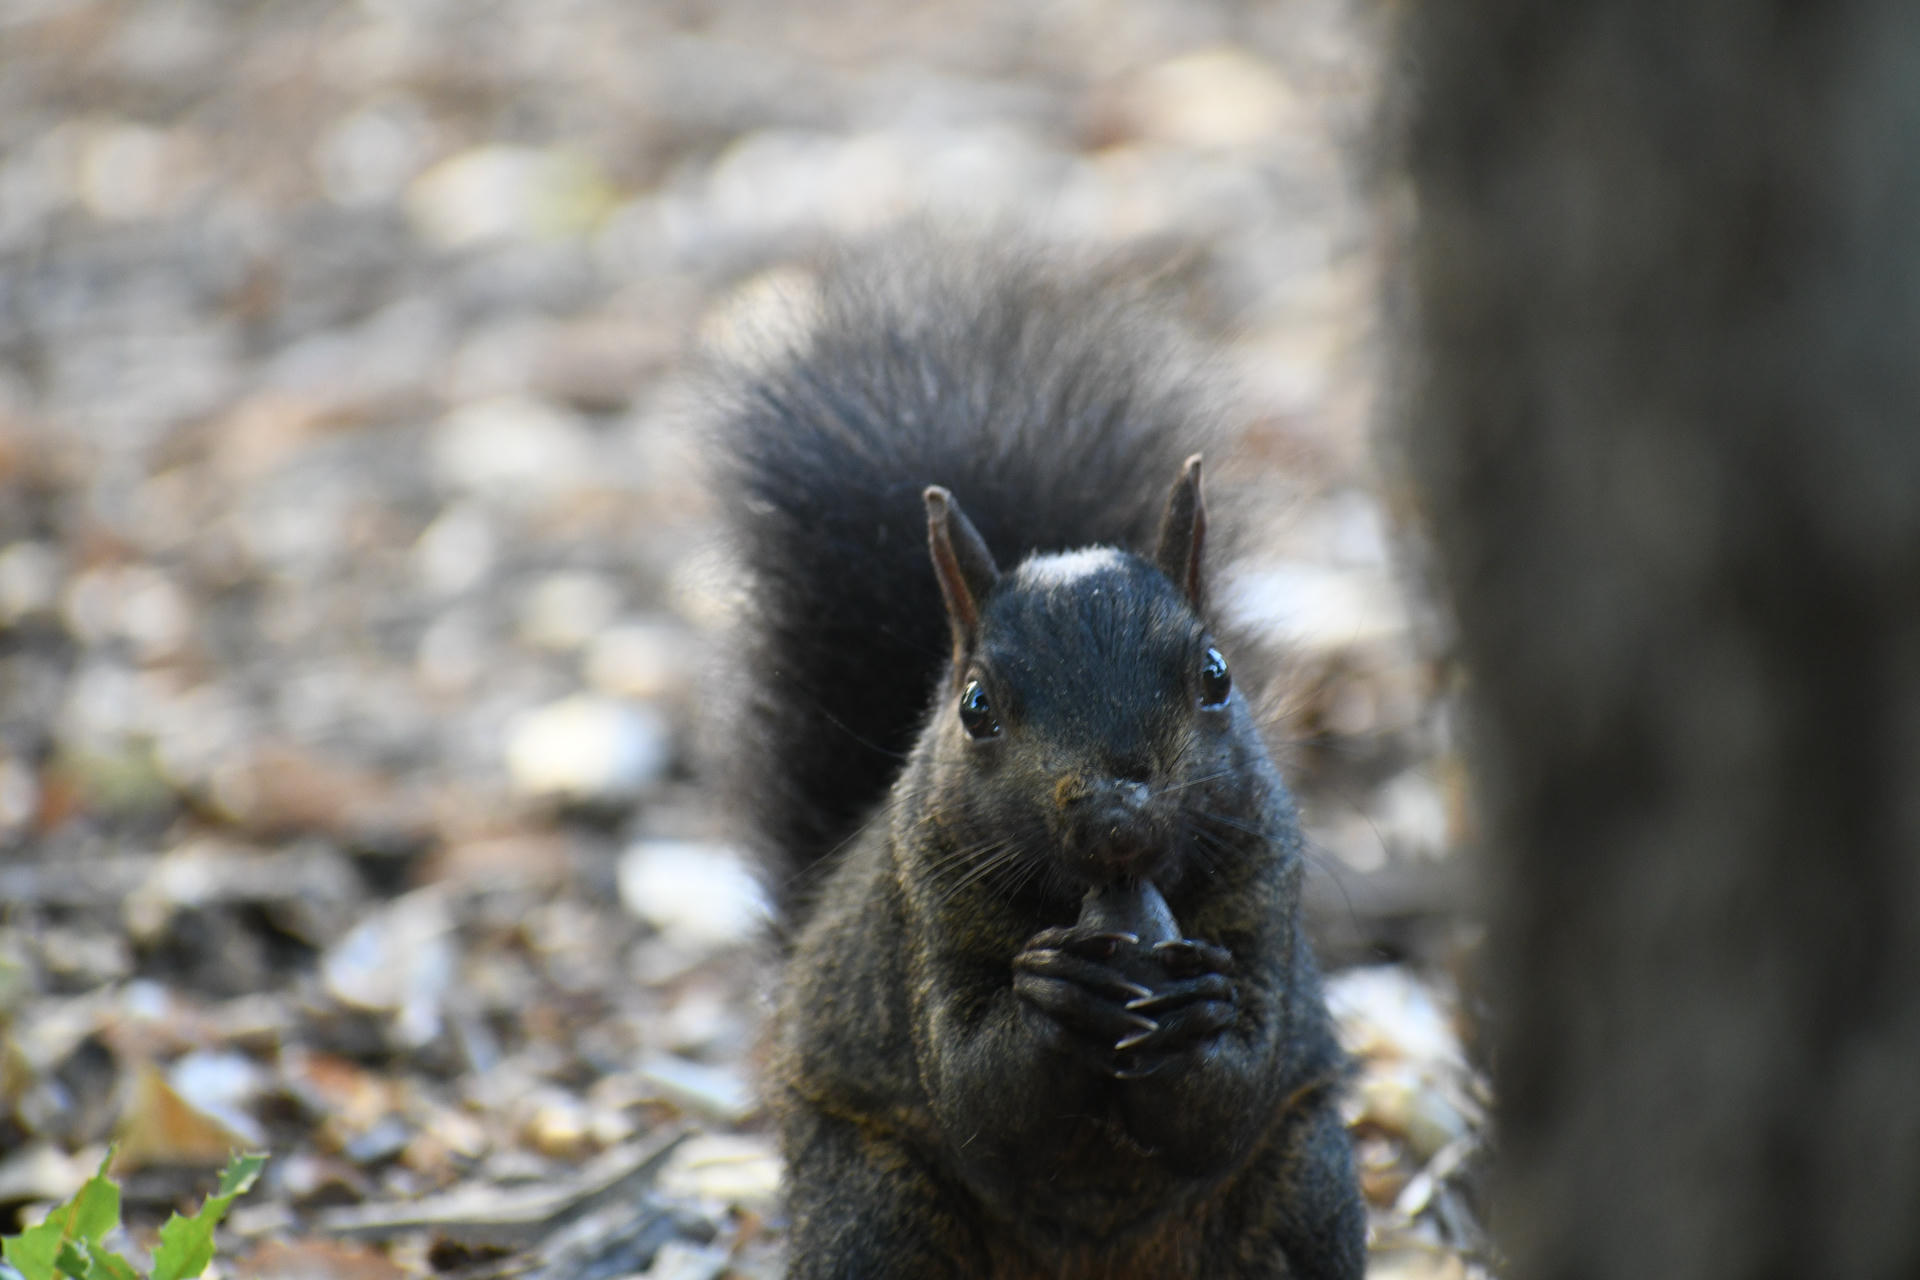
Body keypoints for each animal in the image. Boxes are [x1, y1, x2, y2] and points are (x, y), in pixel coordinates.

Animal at [711, 243, 1366, 1280]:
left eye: (1216, 675)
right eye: (976, 707)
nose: (1117, 816)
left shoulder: (1266, 882)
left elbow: (1231, 1094)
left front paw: (1198, 1012)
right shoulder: (923, 906)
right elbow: (977, 1093)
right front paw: (1056, 999)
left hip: (1304, 1183)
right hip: (873, 1207)